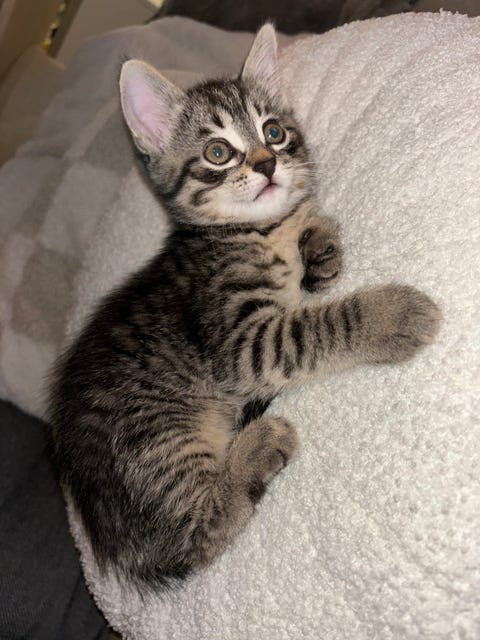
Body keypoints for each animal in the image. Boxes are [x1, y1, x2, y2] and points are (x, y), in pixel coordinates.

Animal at [48, 24, 441, 593]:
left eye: (273, 132)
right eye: (218, 152)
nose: (267, 163)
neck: (253, 232)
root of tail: (109, 542)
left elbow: (308, 227)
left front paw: (319, 243)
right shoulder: (241, 341)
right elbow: (317, 327)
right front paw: (394, 313)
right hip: (162, 434)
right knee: (201, 532)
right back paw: (257, 447)